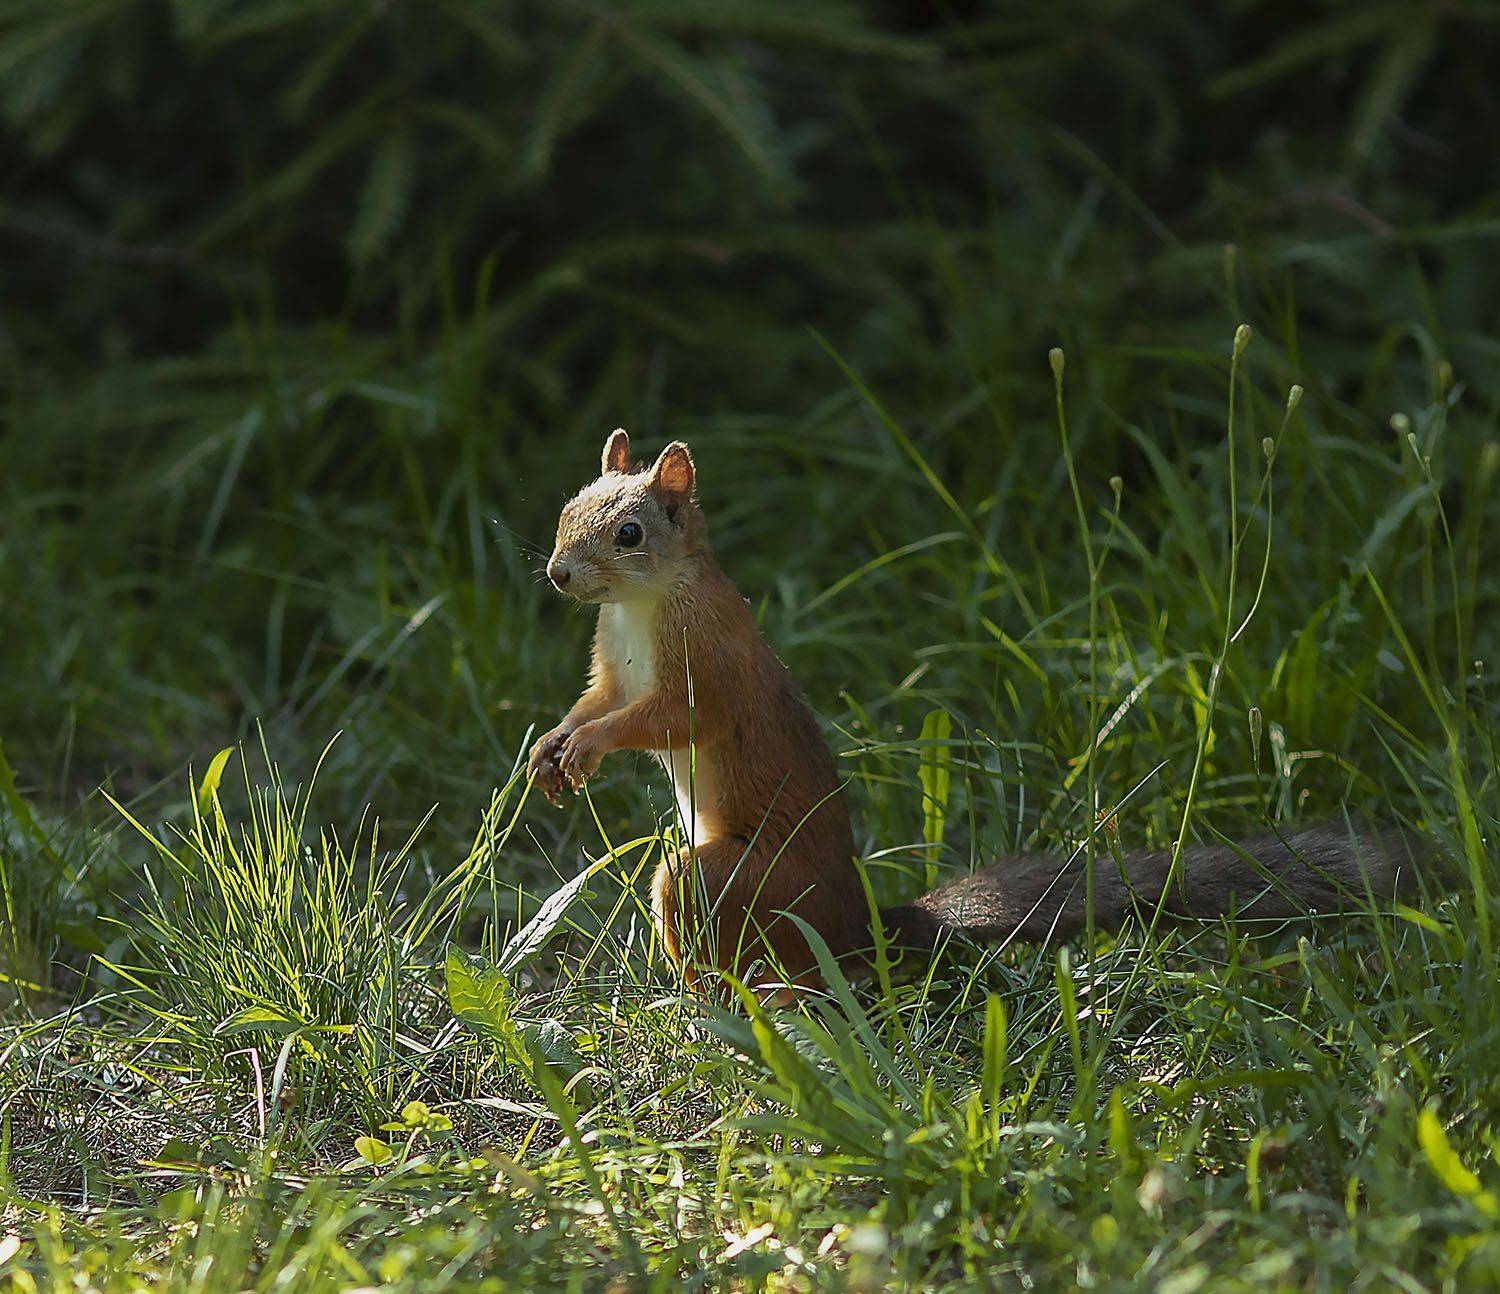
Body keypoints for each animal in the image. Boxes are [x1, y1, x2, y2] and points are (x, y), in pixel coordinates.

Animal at [528, 431, 1421, 989]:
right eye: (569, 506)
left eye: (631, 532)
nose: (559, 575)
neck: (641, 607)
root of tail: (860, 923)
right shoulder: (613, 662)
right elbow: (600, 699)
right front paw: (554, 743)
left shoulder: (703, 661)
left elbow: (669, 720)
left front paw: (593, 746)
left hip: (746, 886)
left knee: (765, 946)